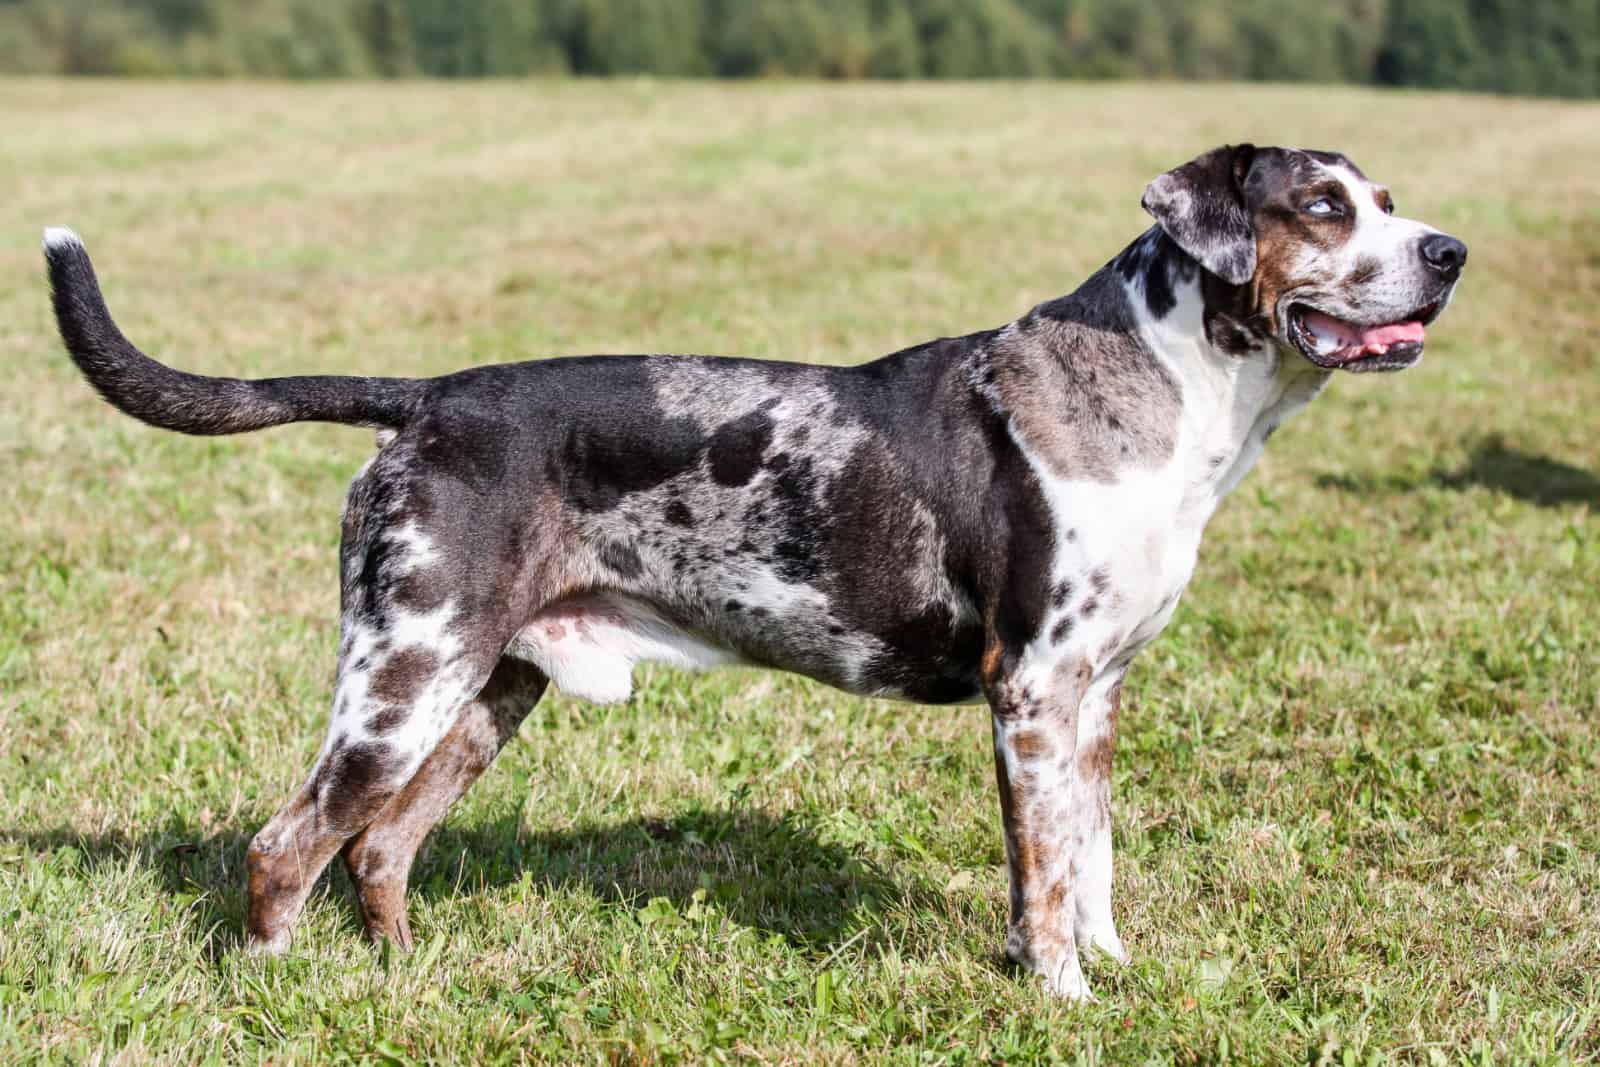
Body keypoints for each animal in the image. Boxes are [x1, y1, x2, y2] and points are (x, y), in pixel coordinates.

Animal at [40, 143, 1465, 1004]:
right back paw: (280, 988)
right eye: (1323, 208)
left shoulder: (1099, 694)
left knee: (381, 846)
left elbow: (1094, 855)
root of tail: (426, 396)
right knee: (287, 843)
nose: (1449, 252)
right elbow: (1044, 879)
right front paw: (1061, 993)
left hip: (488, 686)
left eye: (1390, 200)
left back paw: (402, 980)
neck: (1179, 393)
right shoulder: (1032, 693)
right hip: (404, 673)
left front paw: (1112, 967)